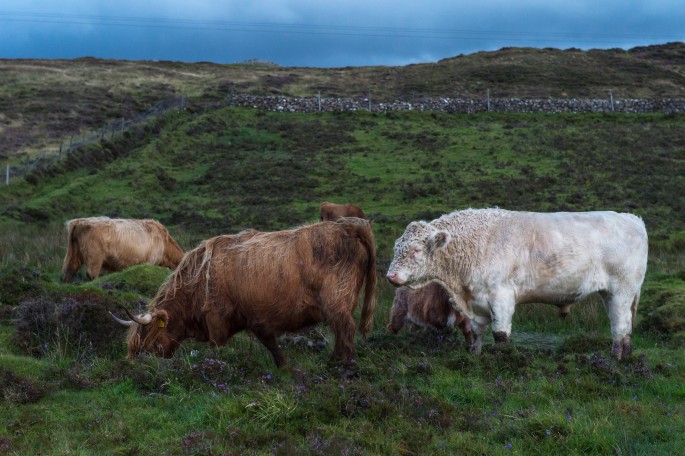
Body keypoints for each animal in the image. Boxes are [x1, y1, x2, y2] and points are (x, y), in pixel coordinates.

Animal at [113, 219, 380, 368]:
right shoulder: (257, 318)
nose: (139, 367)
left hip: (337, 300)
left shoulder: (216, 319)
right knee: (341, 332)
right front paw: (286, 369)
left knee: (346, 330)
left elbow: (216, 350)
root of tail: (349, 227)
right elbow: (273, 347)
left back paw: (344, 368)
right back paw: (332, 363)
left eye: (147, 341)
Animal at [384, 208, 648, 360]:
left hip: (622, 291)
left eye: (416, 249)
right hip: (611, 294)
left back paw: (616, 359)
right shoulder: (476, 302)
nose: (390, 276)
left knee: (620, 328)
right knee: (625, 327)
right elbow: (477, 332)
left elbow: (500, 335)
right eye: (396, 247)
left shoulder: (501, 296)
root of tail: (632, 218)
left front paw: (504, 361)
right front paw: (475, 356)